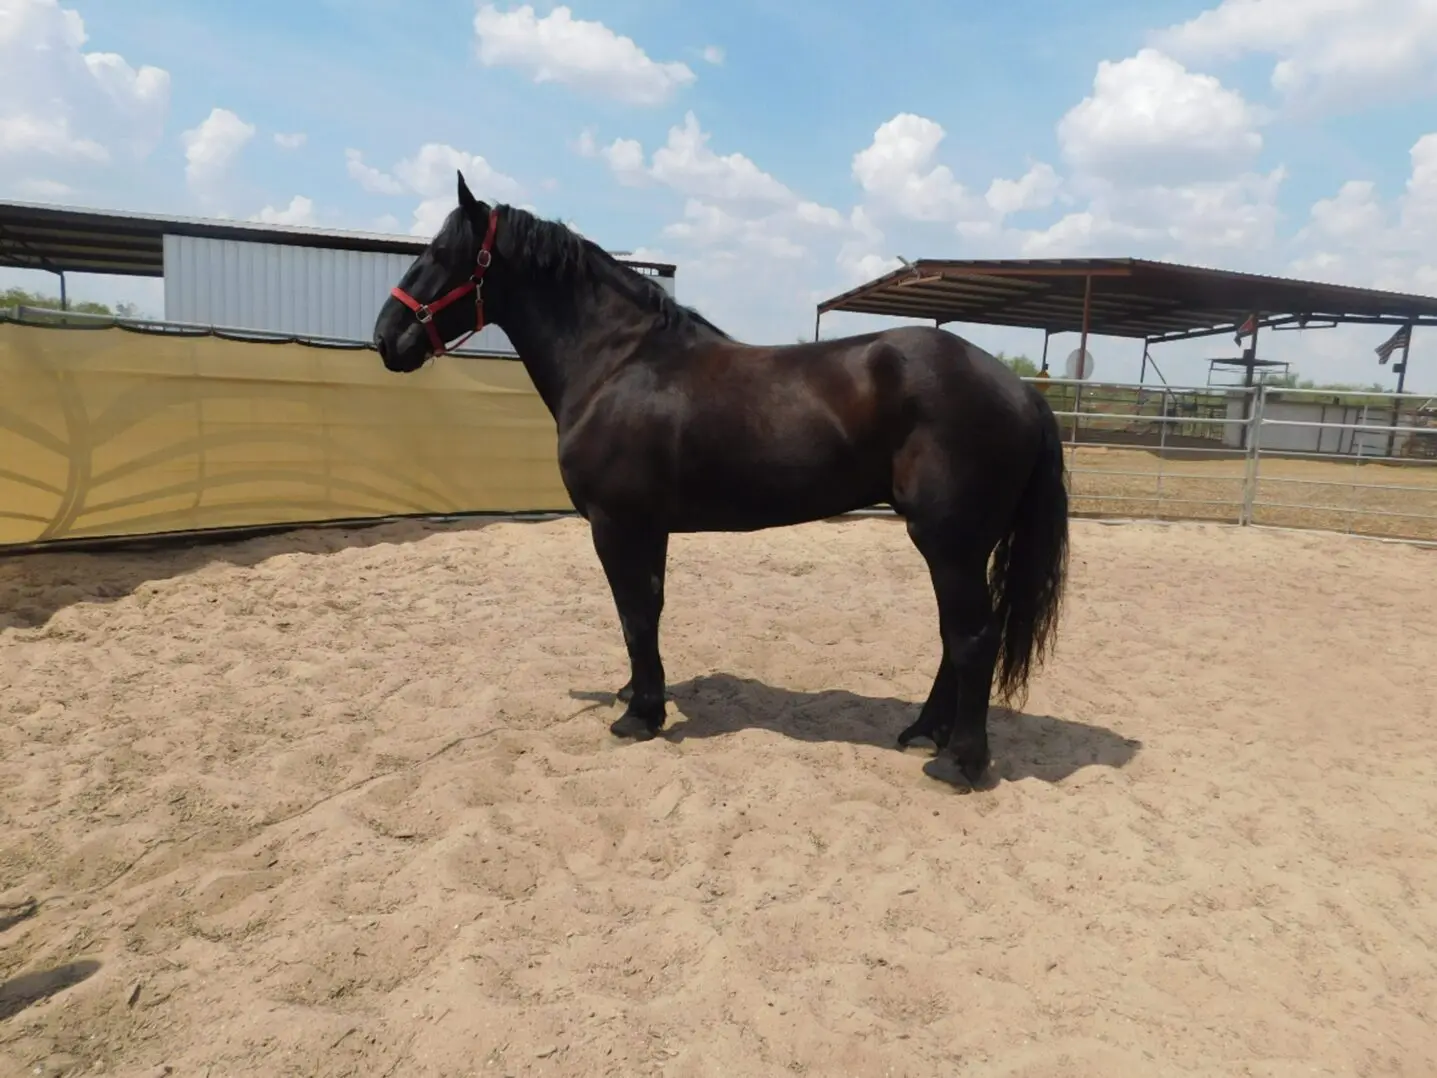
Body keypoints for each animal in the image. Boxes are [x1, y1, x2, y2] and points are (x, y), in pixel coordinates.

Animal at [371, 171, 1070, 785]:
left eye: (441, 254)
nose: (385, 337)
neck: (617, 363)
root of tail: (1020, 392)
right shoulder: (648, 527)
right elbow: (647, 609)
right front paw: (638, 694)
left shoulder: (616, 523)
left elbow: (633, 612)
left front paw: (638, 716)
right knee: (956, 639)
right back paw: (925, 732)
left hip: (949, 542)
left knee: (972, 637)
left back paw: (959, 762)